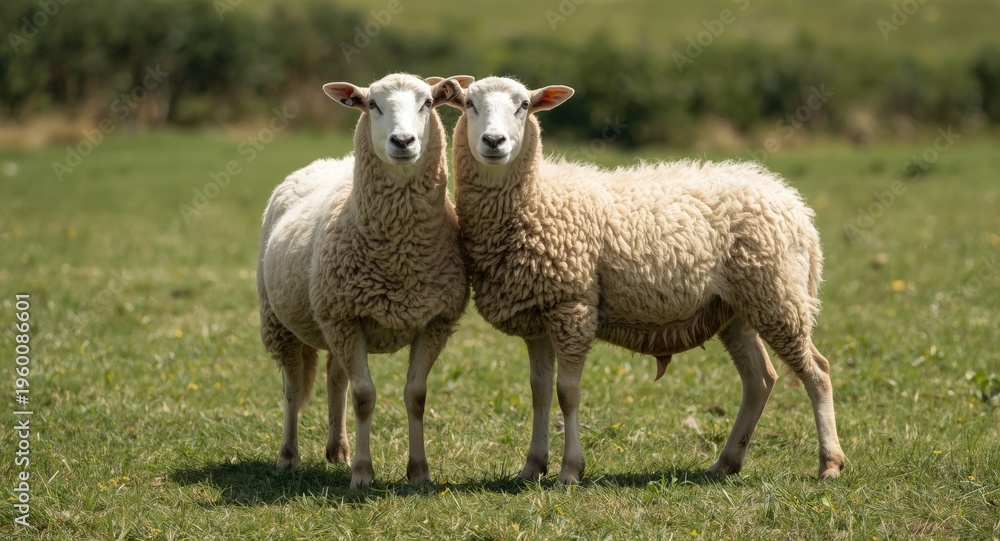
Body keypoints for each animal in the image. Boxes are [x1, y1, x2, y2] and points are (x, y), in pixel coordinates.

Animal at [257, 73, 472, 488]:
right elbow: (364, 397)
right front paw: (362, 473)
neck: (400, 256)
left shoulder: (434, 322)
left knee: (334, 378)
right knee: (293, 388)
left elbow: (416, 395)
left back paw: (336, 449)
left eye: (427, 103)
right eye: (372, 104)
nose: (403, 141)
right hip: (280, 320)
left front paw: (419, 472)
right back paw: (289, 457)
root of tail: (328, 162)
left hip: (331, 325)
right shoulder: (345, 318)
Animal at [442, 76, 846, 484]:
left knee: (818, 373)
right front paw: (532, 466)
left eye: (524, 105)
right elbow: (539, 391)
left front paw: (570, 470)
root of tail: (792, 201)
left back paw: (830, 462)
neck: (536, 198)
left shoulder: (573, 308)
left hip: (777, 296)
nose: (494, 141)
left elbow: (567, 393)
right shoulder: (539, 313)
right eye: (469, 104)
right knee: (760, 379)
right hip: (736, 307)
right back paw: (727, 462)